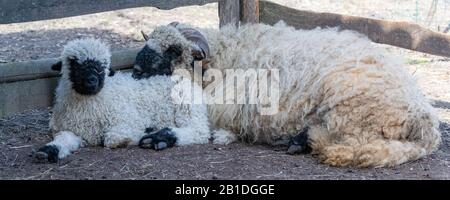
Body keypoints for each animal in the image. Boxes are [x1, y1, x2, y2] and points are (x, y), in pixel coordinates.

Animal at [33, 38, 213, 162]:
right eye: (73, 62)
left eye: (103, 66)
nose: (92, 81)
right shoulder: (71, 130)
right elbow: (62, 139)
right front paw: (47, 151)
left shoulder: (126, 121)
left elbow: (113, 139)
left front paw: (144, 132)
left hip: (187, 108)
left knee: (198, 131)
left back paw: (157, 138)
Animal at [133, 21, 440, 168]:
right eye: (148, 41)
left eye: (174, 49)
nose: (135, 70)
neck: (226, 54)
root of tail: (428, 127)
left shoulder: (227, 107)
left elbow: (203, 127)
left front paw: (159, 136)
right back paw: (297, 140)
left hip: (350, 104)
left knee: (350, 144)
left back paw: (300, 140)